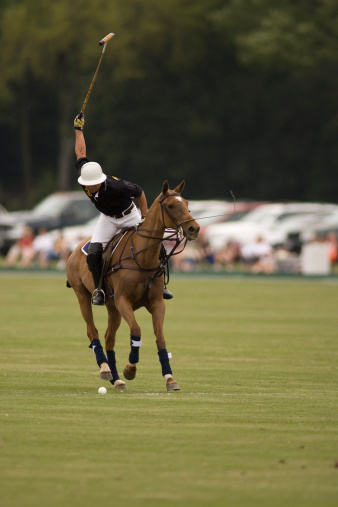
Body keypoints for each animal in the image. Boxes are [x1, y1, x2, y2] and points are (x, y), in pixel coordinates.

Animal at [64, 182, 199, 392]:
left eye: (186, 203)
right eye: (170, 206)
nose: (194, 228)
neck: (142, 257)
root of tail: (76, 248)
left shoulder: (156, 302)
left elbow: (160, 337)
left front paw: (170, 379)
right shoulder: (123, 301)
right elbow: (136, 330)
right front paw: (130, 369)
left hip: (113, 308)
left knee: (109, 338)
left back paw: (116, 379)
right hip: (83, 296)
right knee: (92, 331)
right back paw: (105, 369)